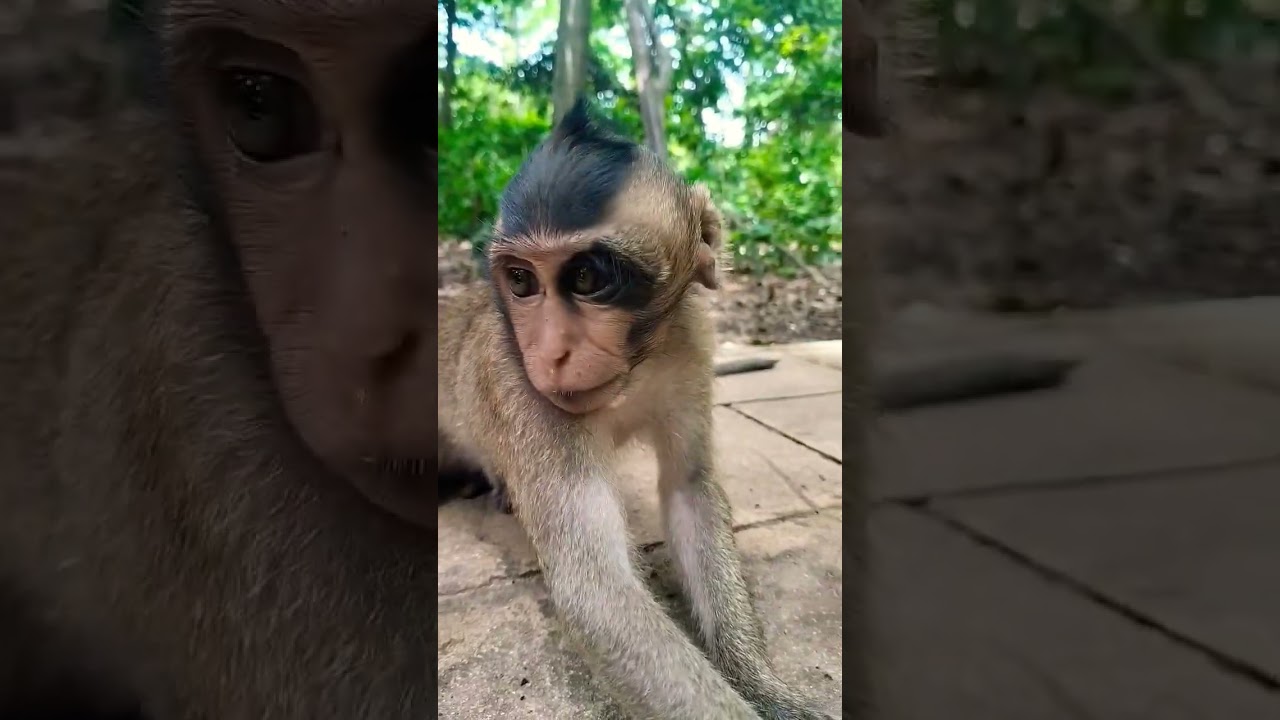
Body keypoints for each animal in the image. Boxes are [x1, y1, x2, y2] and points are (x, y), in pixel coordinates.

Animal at [436, 100, 837, 720]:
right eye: (522, 280)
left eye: (587, 277)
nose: (550, 353)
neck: (633, 373)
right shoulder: (521, 386)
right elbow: (597, 590)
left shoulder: (691, 342)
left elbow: (689, 492)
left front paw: (769, 690)